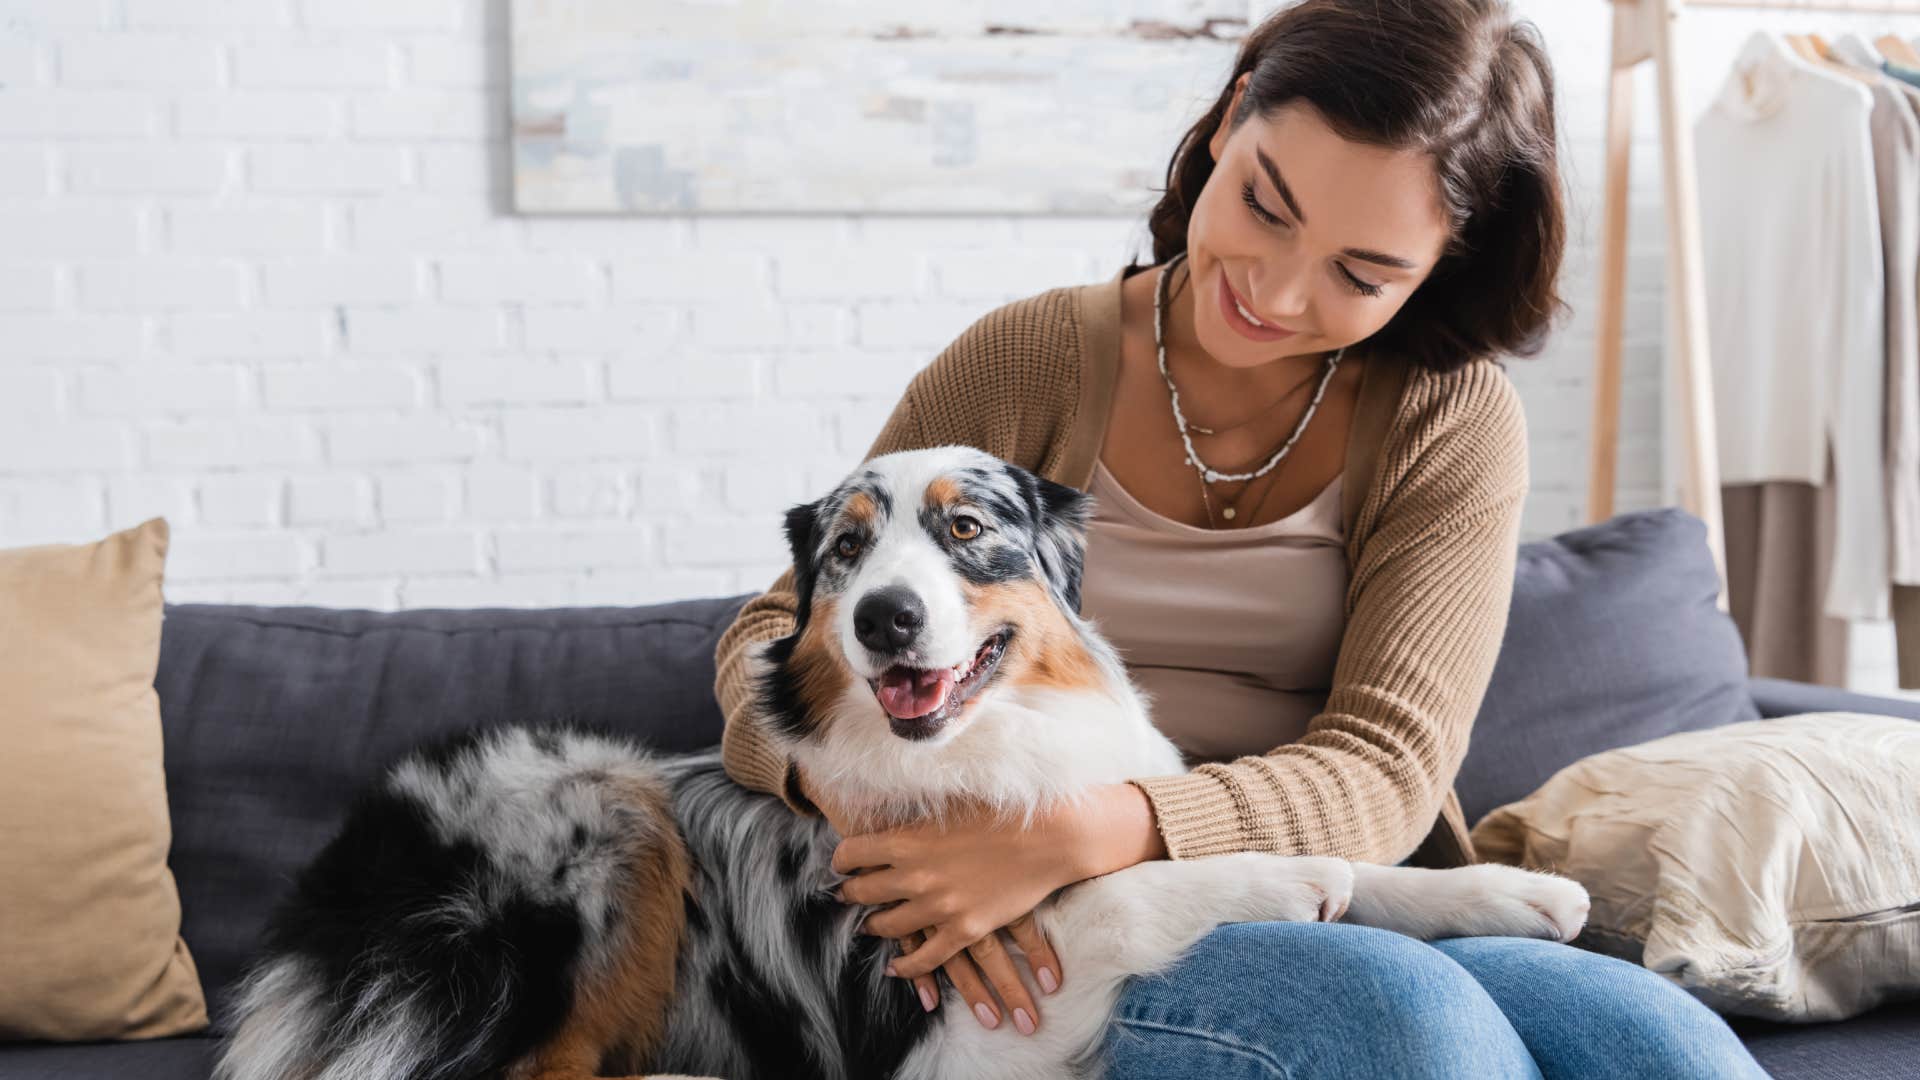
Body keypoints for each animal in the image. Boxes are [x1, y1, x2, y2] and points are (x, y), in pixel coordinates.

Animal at [214, 440, 1589, 1076]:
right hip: (592, 803)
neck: (991, 750)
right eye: (847, 553)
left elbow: (1345, 860)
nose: (885, 618)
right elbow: (1119, 892)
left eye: (967, 529)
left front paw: (1513, 889)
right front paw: (1285, 881)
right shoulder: (960, 1026)